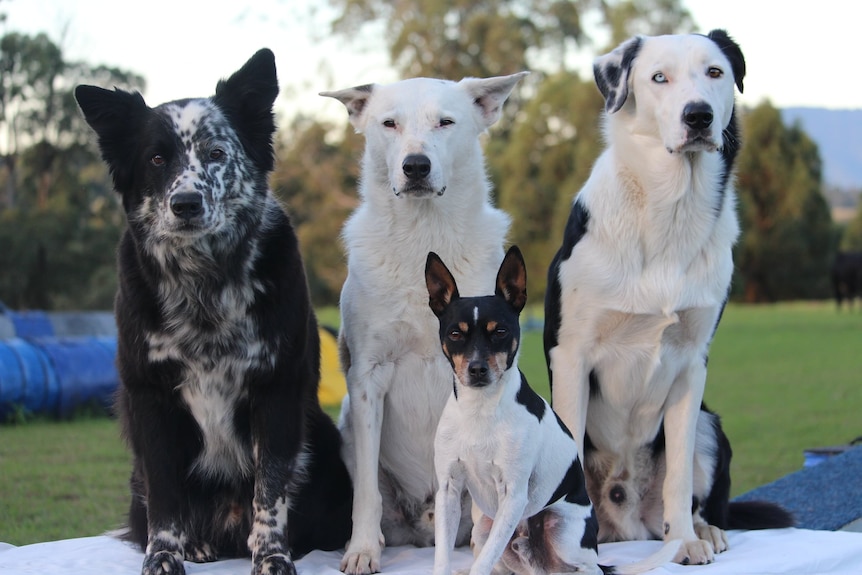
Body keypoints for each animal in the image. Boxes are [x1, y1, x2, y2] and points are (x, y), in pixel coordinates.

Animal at [76, 49, 352, 575]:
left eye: (217, 153)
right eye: (156, 158)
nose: (186, 204)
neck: (205, 282)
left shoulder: (276, 391)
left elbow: (270, 489)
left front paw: (272, 557)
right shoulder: (151, 399)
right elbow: (166, 498)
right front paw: (164, 556)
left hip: (323, 441)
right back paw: (197, 544)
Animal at [322, 72, 528, 575]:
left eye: (446, 122)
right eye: (389, 123)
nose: (416, 166)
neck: (423, 235)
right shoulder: (368, 376)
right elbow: (366, 493)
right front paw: (362, 550)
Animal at [428, 246, 680, 575]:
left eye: (501, 332)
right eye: (455, 334)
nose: (477, 369)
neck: (480, 411)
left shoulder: (513, 494)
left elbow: (482, 564)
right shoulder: (448, 491)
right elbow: (445, 556)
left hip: (564, 531)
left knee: (589, 568)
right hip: (484, 526)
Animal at [544, 30, 792, 568]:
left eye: (715, 72)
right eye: (659, 78)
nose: (698, 115)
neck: (669, 210)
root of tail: (626, 523)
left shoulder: (691, 363)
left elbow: (678, 475)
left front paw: (684, 543)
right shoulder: (571, 355)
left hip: (708, 424)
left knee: (701, 498)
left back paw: (703, 530)